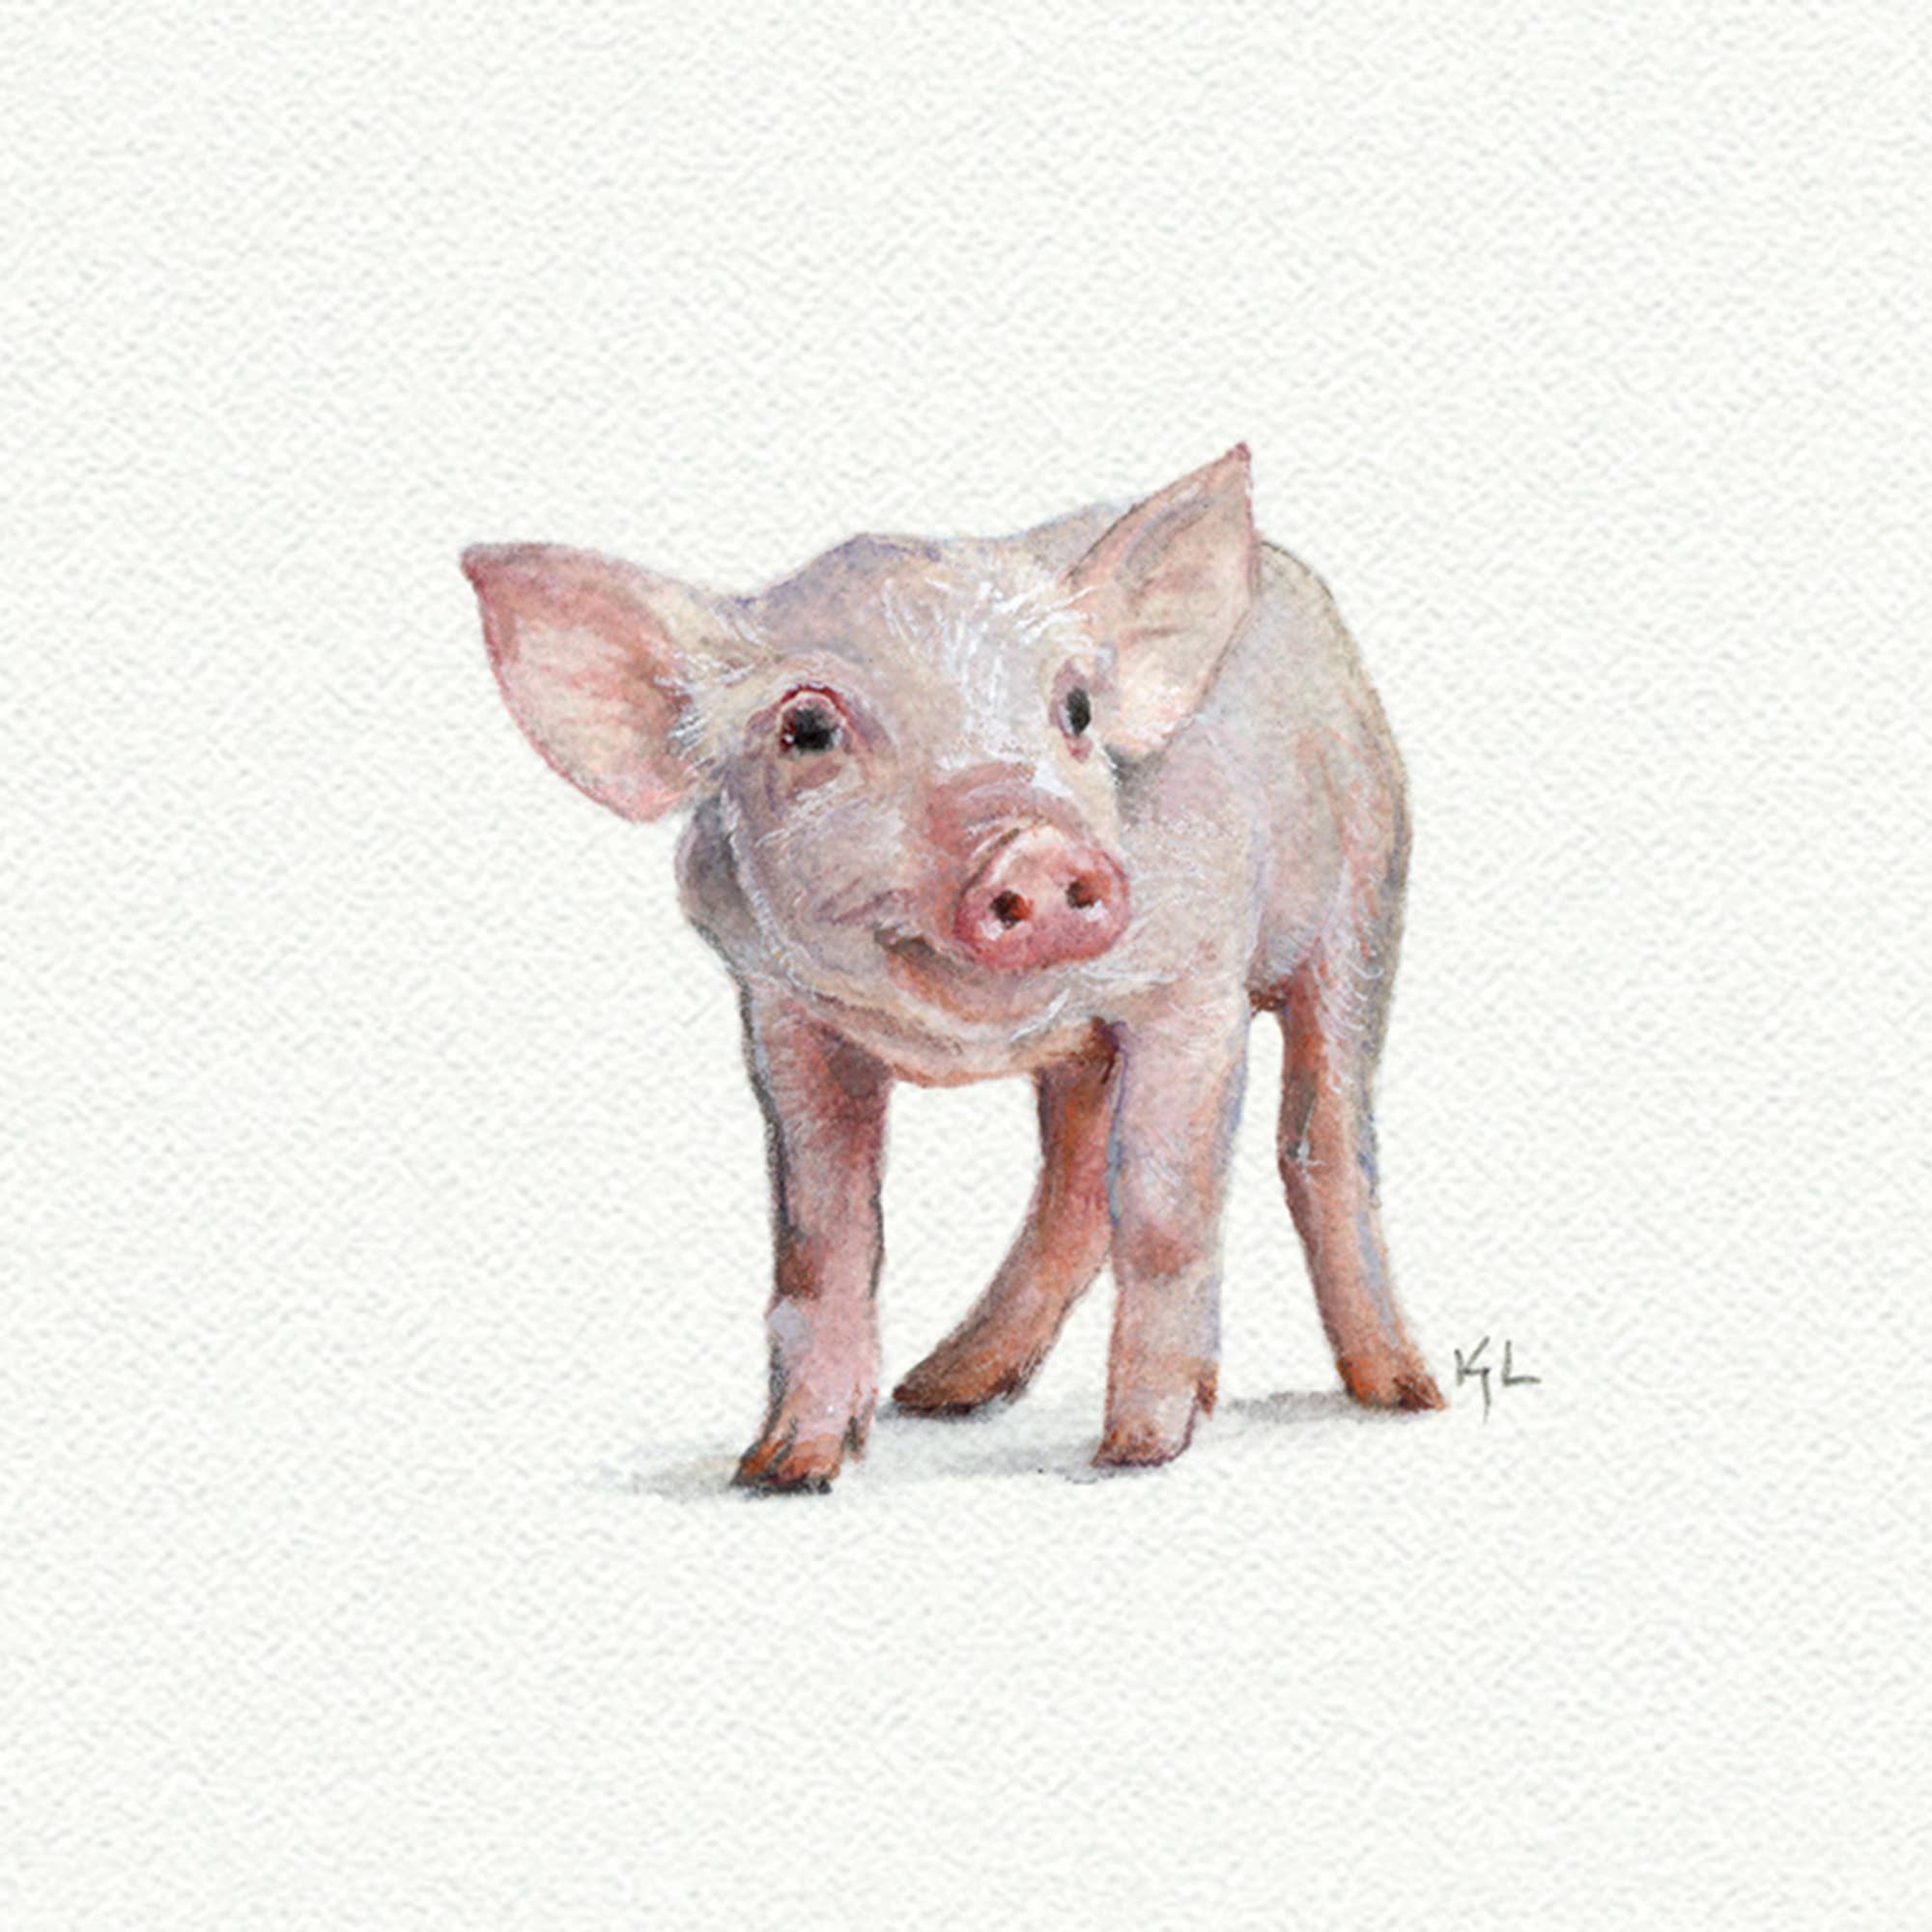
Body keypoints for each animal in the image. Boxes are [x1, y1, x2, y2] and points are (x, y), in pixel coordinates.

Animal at [463, 446, 1441, 1492]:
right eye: (806, 729)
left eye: (1076, 709)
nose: (1035, 847)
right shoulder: (780, 1011)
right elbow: (821, 1238)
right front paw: (781, 1469)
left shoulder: (1195, 987)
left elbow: (1163, 1207)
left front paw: (1137, 1453)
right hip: (1101, 1046)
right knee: (1073, 1177)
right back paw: (941, 1392)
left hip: (1367, 889)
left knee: (1320, 1138)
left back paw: (1401, 1392)